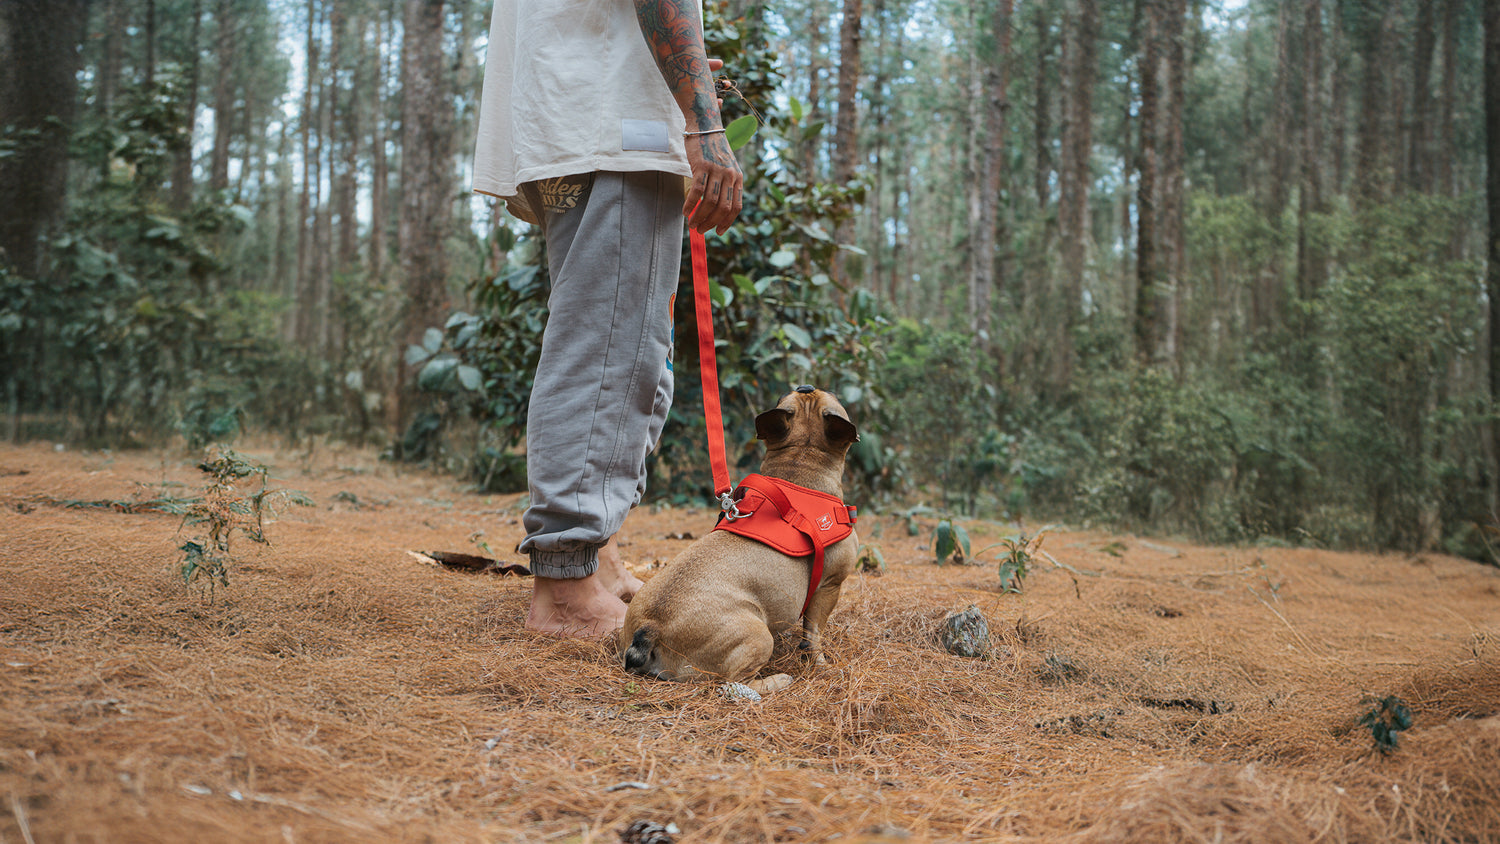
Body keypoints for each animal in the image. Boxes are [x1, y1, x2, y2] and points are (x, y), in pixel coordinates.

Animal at [618, 386, 858, 695]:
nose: (805, 386)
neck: (800, 463)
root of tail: (650, 627)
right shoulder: (830, 586)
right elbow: (814, 632)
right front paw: (819, 663)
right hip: (756, 635)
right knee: (734, 682)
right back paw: (776, 681)